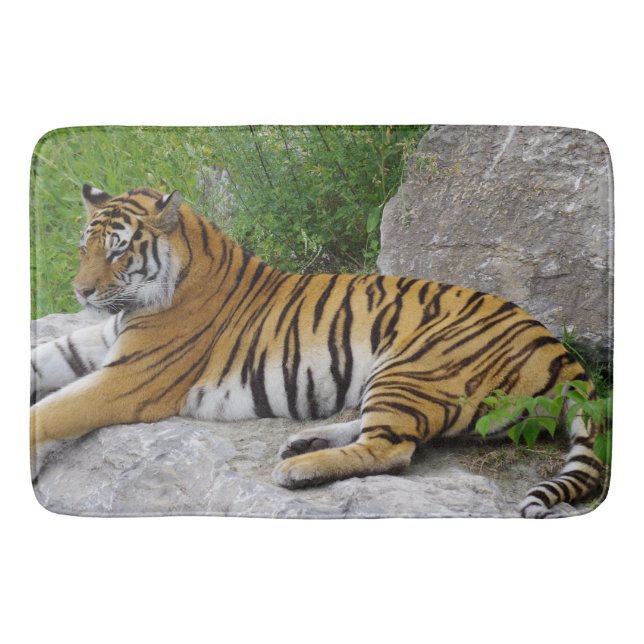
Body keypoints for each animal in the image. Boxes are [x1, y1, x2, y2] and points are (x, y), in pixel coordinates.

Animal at [30, 184, 606, 518]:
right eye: (83, 248)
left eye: (118, 251)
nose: (80, 292)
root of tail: (560, 351)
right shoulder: (98, 342)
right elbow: (39, 363)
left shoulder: (127, 378)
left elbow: (52, 411)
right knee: (396, 433)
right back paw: (303, 443)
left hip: (413, 365)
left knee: (393, 449)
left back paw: (299, 469)